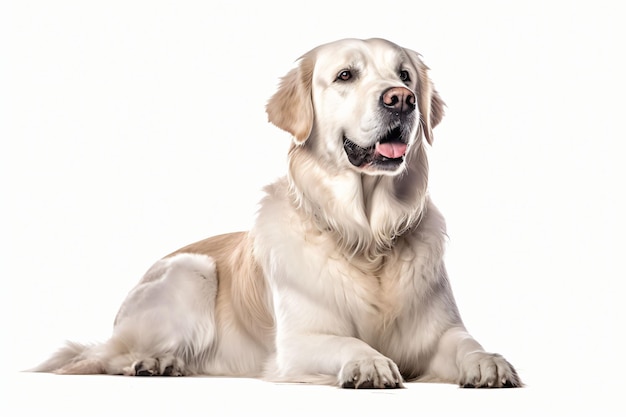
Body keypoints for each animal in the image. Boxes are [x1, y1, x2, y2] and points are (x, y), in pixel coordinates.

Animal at [35, 37, 520, 388]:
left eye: (404, 75)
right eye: (345, 75)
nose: (401, 99)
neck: (367, 237)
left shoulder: (438, 335)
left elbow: (466, 343)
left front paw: (489, 362)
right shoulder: (299, 343)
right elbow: (347, 341)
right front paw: (369, 363)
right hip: (192, 271)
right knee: (107, 356)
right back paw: (153, 361)